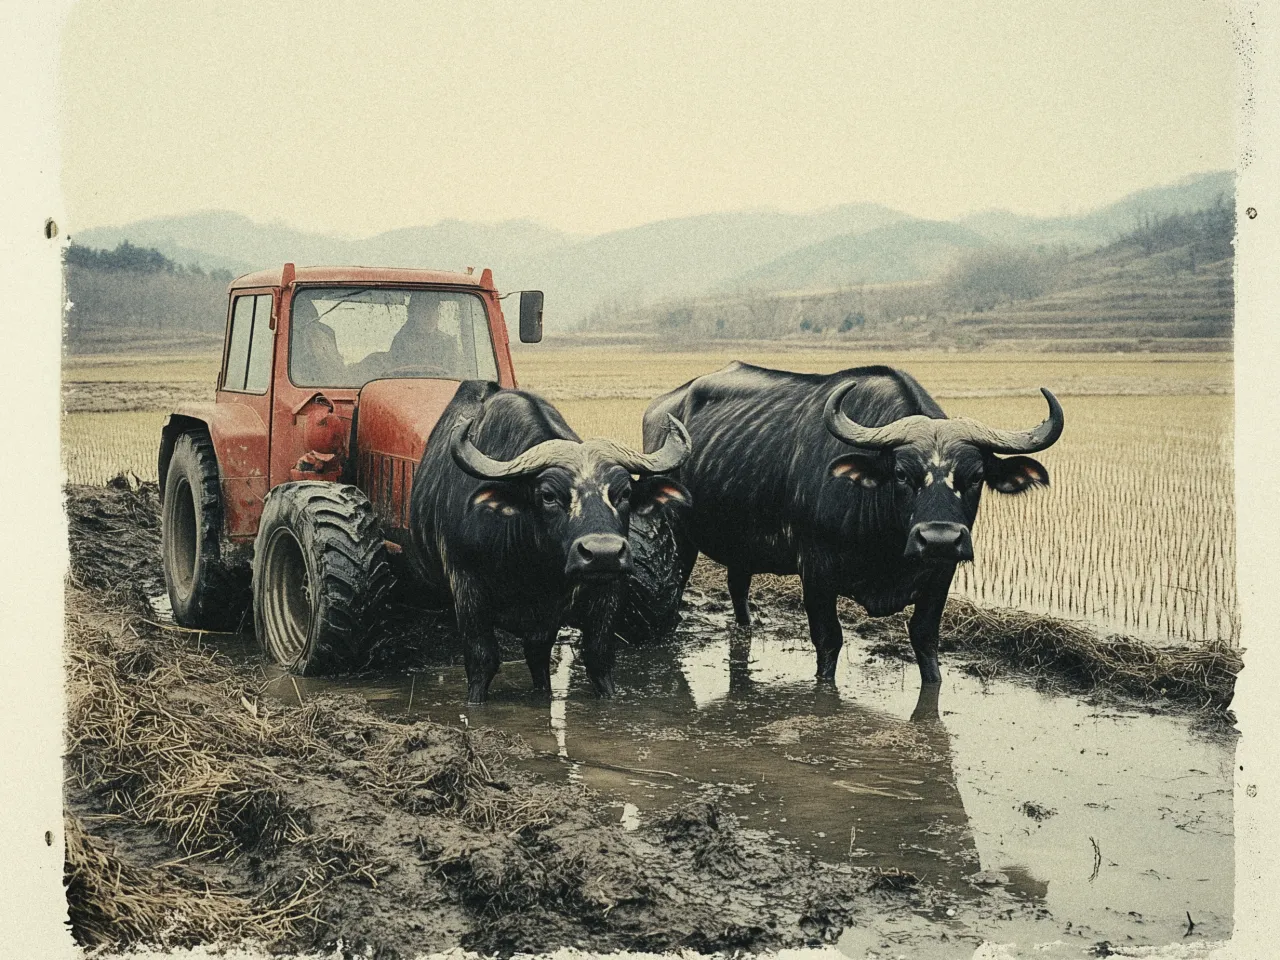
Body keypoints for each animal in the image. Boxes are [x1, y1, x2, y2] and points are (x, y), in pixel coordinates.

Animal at [409, 381, 691, 706]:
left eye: (624, 493)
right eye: (548, 495)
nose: (603, 553)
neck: (535, 569)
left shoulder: (602, 593)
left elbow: (594, 658)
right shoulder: (467, 586)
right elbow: (482, 660)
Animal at [645, 360, 1064, 686]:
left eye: (976, 476)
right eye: (901, 473)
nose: (939, 539)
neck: (887, 548)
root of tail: (660, 410)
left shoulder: (940, 575)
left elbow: (925, 640)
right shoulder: (816, 573)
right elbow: (829, 642)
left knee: (737, 584)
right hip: (678, 532)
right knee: (678, 583)